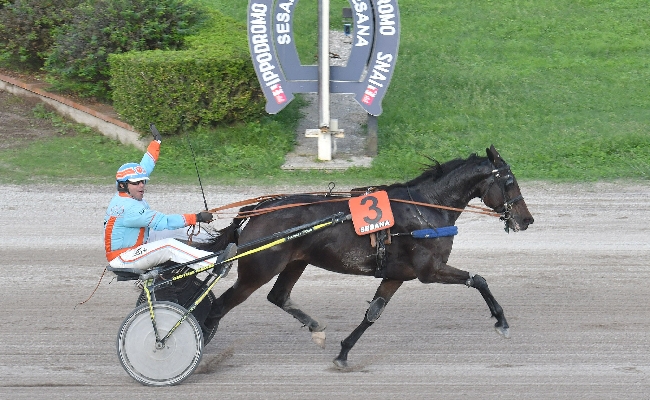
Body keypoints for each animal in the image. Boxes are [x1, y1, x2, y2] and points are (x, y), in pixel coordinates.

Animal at [199, 145, 532, 368]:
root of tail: (257, 209)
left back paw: (316, 329)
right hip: (257, 270)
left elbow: (373, 313)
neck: (426, 208)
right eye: (509, 181)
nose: (526, 220)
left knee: (278, 296)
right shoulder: (430, 270)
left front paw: (343, 353)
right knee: (218, 308)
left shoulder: (397, 275)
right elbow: (479, 280)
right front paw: (501, 322)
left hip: (295, 262)